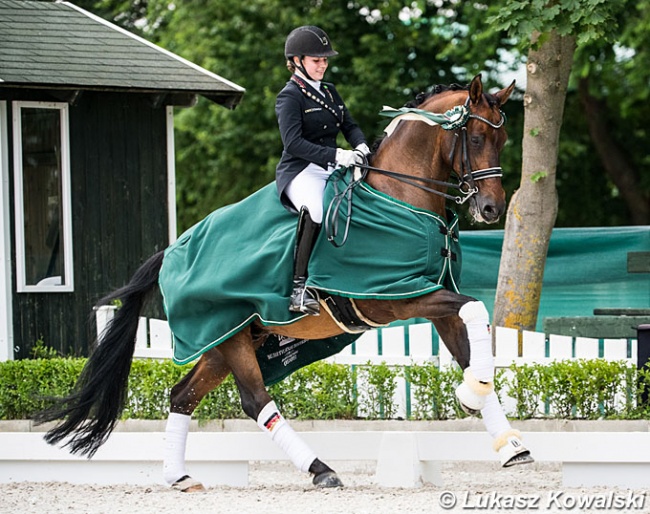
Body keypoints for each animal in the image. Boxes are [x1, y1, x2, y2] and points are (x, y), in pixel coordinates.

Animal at [36, 74, 532, 490]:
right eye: (475, 137)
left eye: (504, 139)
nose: (491, 209)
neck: (401, 199)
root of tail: (172, 252)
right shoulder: (399, 297)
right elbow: (474, 310)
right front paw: (470, 397)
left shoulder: (432, 295)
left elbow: (471, 342)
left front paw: (507, 439)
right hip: (229, 336)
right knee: (255, 400)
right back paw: (321, 470)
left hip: (224, 341)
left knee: (181, 396)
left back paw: (180, 477)